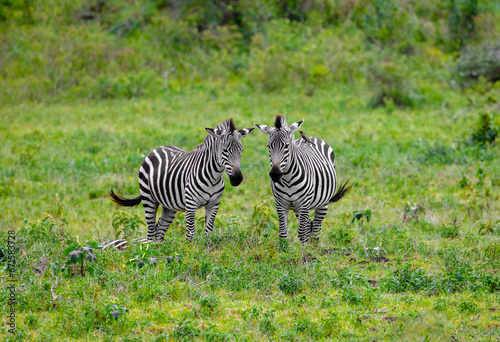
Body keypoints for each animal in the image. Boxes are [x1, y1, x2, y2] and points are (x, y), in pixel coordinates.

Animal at [107, 118, 252, 243]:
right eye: (225, 150)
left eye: (241, 150)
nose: (237, 178)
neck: (213, 177)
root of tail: (157, 148)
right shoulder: (191, 204)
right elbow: (191, 233)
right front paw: (190, 252)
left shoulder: (214, 204)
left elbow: (208, 232)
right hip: (148, 198)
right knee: (151, 231)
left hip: (169, 206)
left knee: (159, 230)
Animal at [254, 115, 352, 243]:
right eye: (268, 146)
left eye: (286, 146)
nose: (275, 174)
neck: (287, 179)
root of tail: (312, 137)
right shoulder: (280, 204)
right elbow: (283, 234)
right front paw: (283, 248)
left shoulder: (304, 204)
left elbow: (302, 234)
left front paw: (304, 248)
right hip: (297, 208)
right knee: (310, 225)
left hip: (322, 204)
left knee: (316, 229)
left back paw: (314, 246)